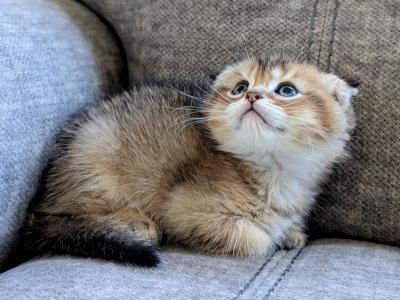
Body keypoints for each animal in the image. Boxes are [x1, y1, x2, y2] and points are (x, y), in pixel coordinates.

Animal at [22, 56, 360, 268]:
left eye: (287, 90)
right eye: (239, 87)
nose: (251, 95)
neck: (274, 170)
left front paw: (290, 232)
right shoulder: (184, 210)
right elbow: (256, 240)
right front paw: (274, 237)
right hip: (95, 165)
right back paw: (131, 223)